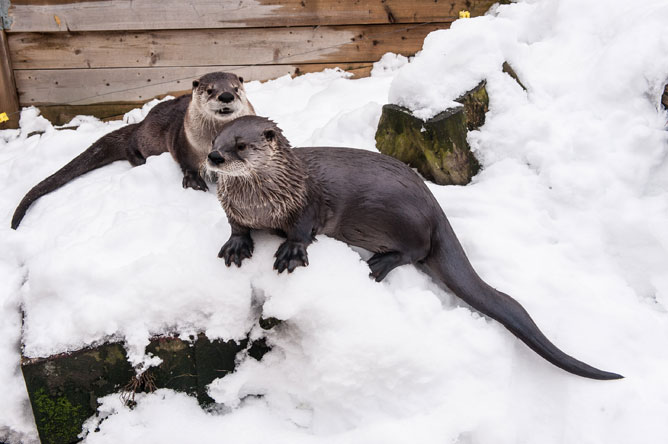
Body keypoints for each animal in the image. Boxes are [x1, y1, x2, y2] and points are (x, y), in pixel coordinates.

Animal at [206, 115, 624, 382]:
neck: (261, 202)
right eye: (214, 142)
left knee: (414, 252)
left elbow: (300, 232)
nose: (213, 157)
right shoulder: (233, 209)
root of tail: (434, 206)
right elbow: (236, 227)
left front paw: (290, 252)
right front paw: (235, 245)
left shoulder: (306, 205)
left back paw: (377, 265)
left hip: (400, 217)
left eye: (240, 146)